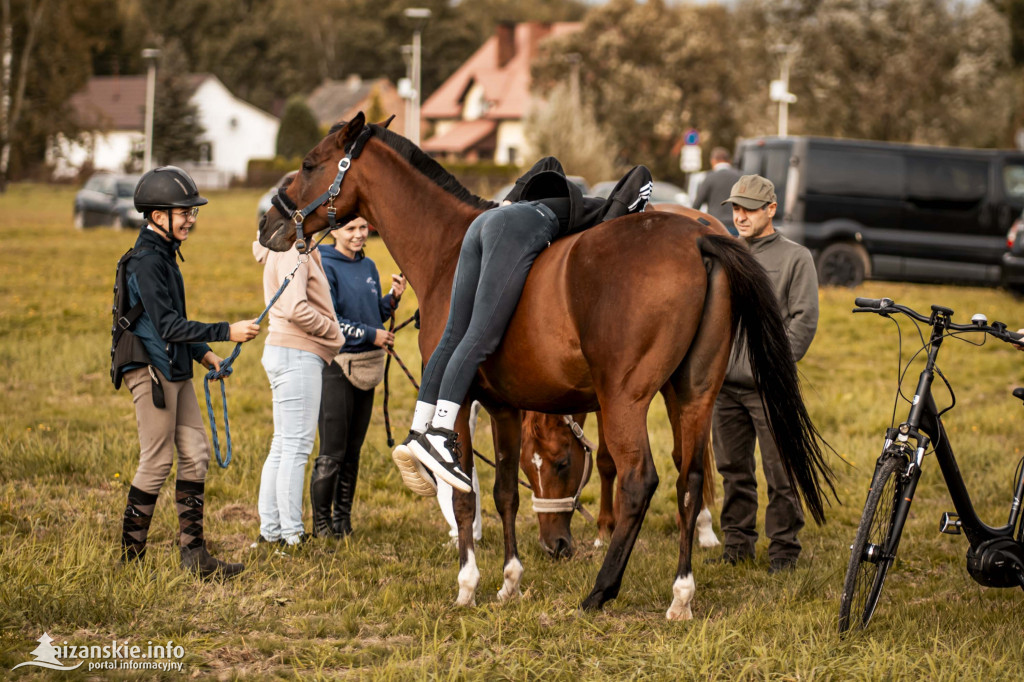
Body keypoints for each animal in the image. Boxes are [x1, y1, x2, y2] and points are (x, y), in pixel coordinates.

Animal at [258, 114, 831, 618]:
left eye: (309, 164)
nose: (268, 220)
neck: (451, 244)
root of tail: (698, 237)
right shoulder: (506, 408)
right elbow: (506, 492)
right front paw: (510, 582)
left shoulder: (463, 397)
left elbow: (465, 493)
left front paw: (467, 584)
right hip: (690, 394)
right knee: (688, 481)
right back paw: (681, 595)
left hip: (625, 400)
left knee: (639, 480)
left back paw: (600, 591)